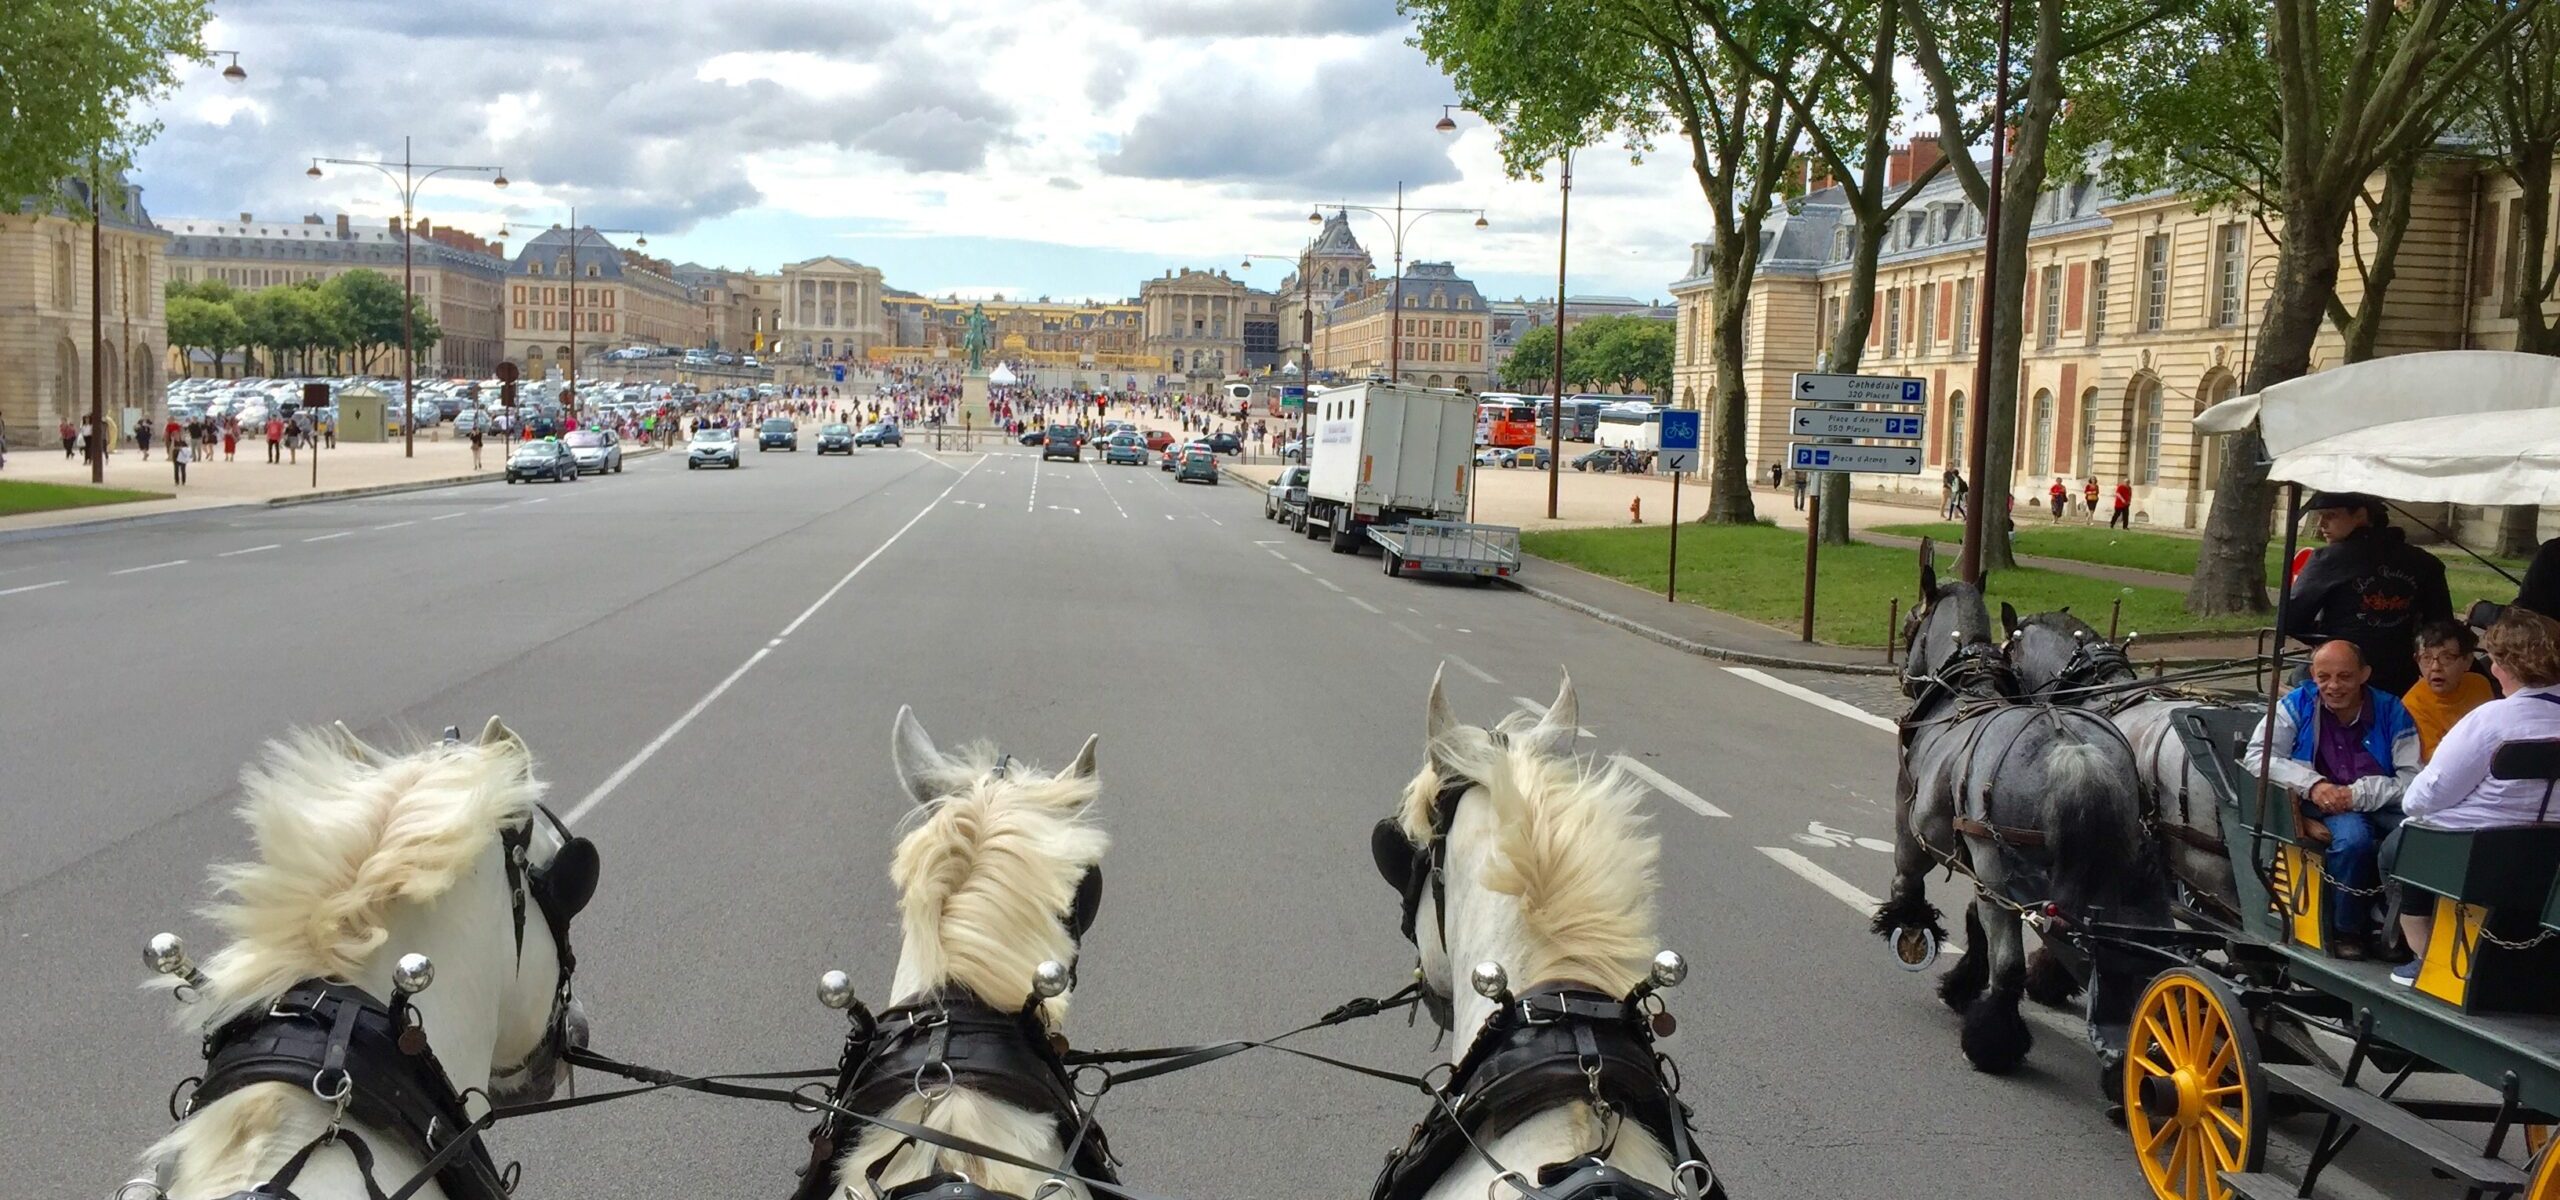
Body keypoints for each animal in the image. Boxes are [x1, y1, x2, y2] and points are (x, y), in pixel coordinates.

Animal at [1873, 552, 2170, 1074]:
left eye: (1909, 622)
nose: (1905, 680)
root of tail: (2074, 753)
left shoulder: (1925, 837)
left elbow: (1911, 884)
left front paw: (1909, 929)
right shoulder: (1983, 869)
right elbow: (1975, 922)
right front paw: (1962, 979)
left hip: (2002, 874)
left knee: (2010, 966)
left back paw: (1993, 1042)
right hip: (2113, 882)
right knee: (2122, 970)